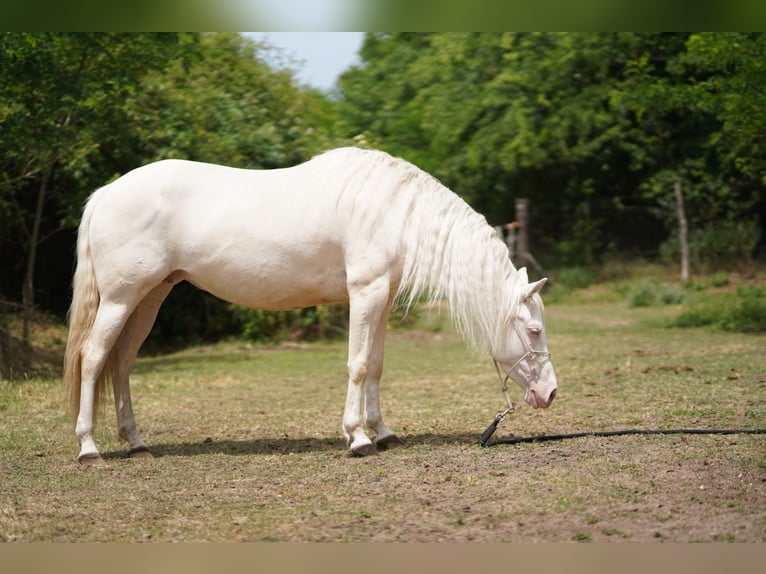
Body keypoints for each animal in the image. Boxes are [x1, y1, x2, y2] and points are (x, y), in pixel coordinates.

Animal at [63, 147, 557, 465]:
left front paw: (383, 433)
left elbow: (376, 366)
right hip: (121, 299)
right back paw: (89, 448)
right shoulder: (365, 293)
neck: (395, 212)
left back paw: (136, 443)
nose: (551, 393)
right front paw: (357, 439)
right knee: (94, 358)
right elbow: (358, 364)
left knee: (122, 364)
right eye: (533, 330)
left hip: (149, 298)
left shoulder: (381, 298)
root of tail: (107, 193)